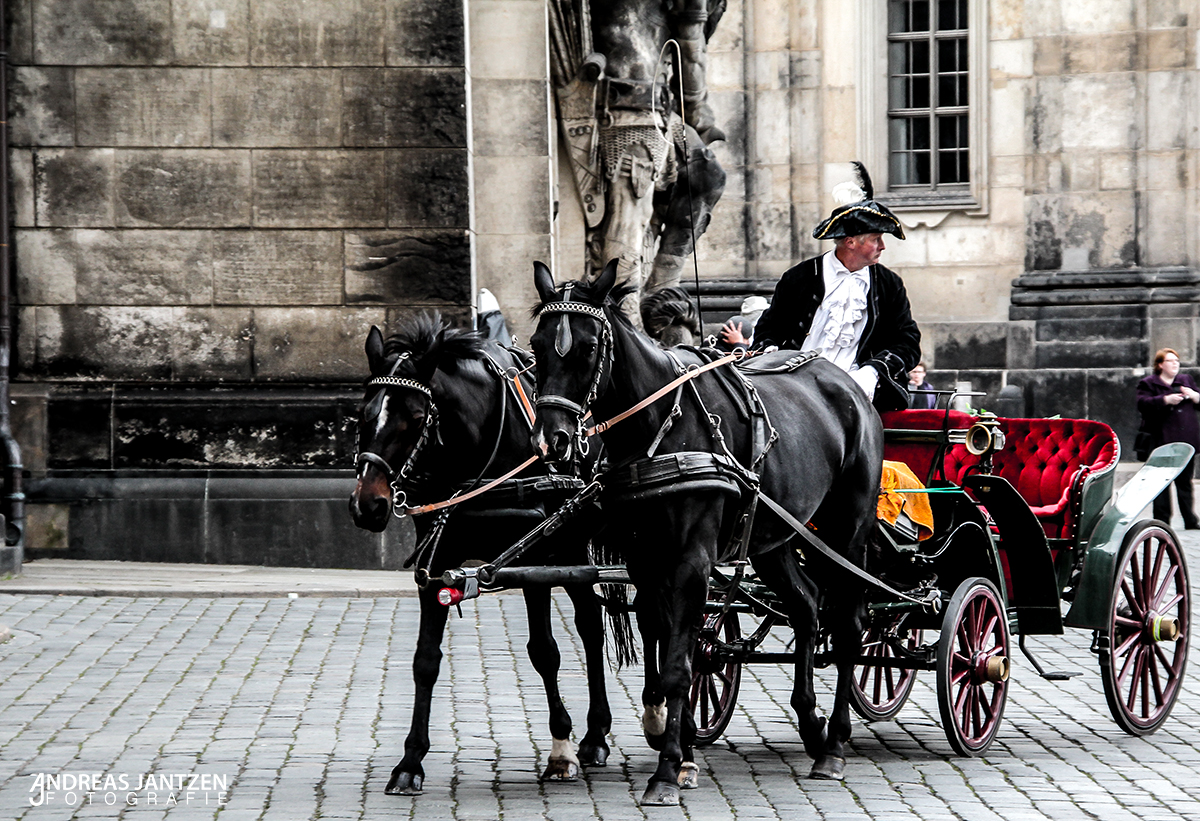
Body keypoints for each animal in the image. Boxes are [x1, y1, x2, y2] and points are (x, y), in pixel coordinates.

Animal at [350, 316, 619, 796]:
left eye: (415, 417)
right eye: (364, 414)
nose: (368, 505)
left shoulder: (534, 559)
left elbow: (544, 651)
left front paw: (560, 748)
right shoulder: (437, 565)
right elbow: (425, 661)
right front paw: (410, 760)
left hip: (570, 546)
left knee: (592, 628)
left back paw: (603, 732)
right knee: (592, 622)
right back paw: (596, 732)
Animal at [530, 261, 888, 801]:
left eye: (589, 348)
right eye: (535, 346)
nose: (552, 440)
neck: (661, 427)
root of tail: (843, 382)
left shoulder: (692, 560)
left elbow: (682, 663)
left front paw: (667, 769)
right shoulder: (645, 559)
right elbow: (664, 640)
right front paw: (678, 749)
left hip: (847, 533)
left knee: (848, 625)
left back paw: (835, 745)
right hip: (775, 538)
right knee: (806, 605)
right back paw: (811, 723)